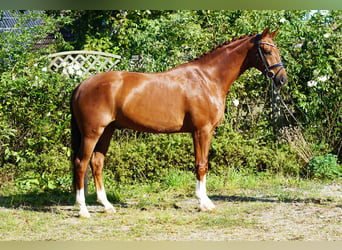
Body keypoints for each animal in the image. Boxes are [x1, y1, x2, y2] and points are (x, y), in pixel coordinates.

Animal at [71, 28, 288, 218]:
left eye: (277, 49)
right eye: (267, 51)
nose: (282, 79)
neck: (207, 78)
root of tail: (82, 85)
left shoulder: (200, 132)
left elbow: (201, 163)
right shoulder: (202, 131)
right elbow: (202, 164)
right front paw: (204, 203)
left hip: (107, 131)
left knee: (97, 163)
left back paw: (106, 206)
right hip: (92, 133)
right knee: (81, 163)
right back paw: (83, 210)